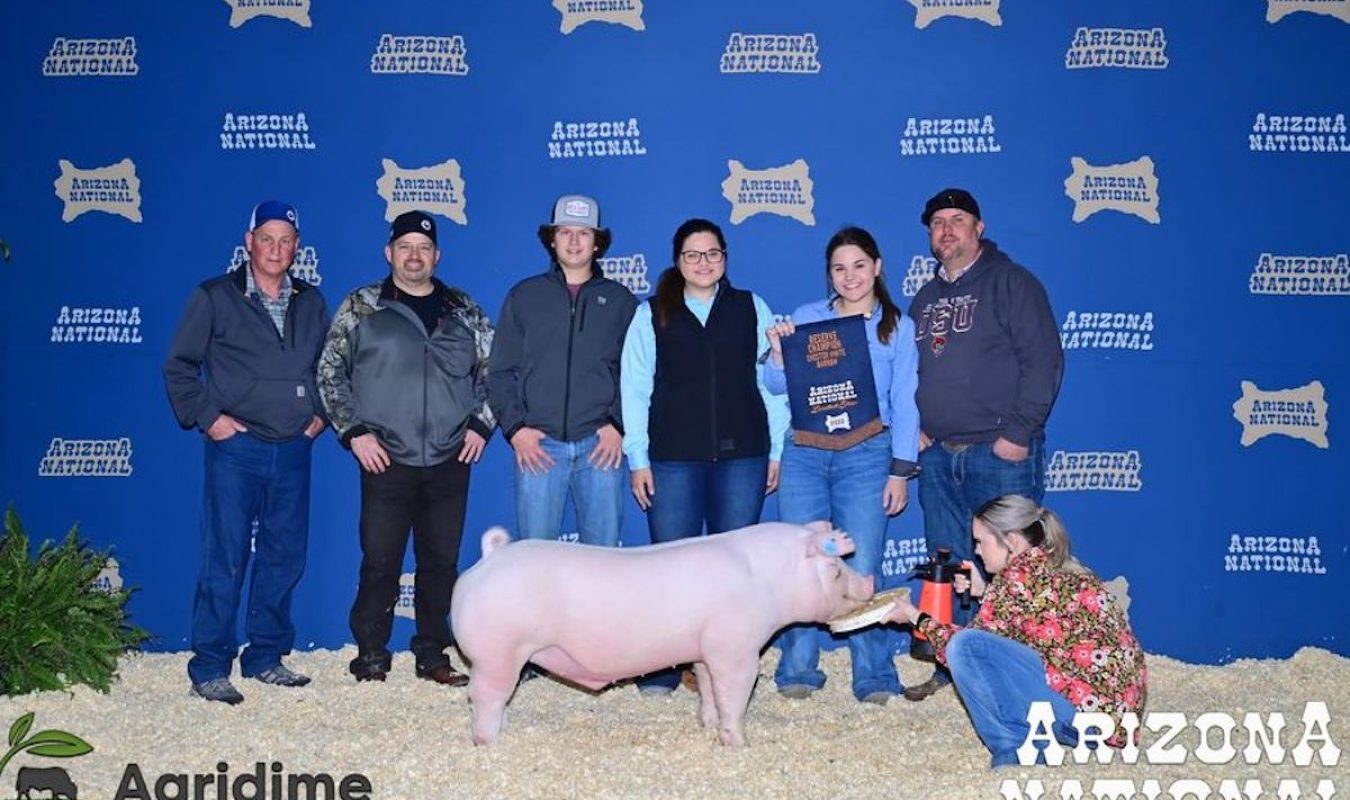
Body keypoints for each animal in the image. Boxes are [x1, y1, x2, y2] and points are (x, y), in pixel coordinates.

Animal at [450, 520, 874, 744]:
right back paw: (488, 741)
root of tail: (490, 558)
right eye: (835, 568)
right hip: (498, 653)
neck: (768, 579)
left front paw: (707, 725)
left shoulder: (705, 649)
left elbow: (708, 688)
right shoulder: (734, 648)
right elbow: (735, 692)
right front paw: (737, 742)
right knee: (484, 695)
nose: (869, 581)